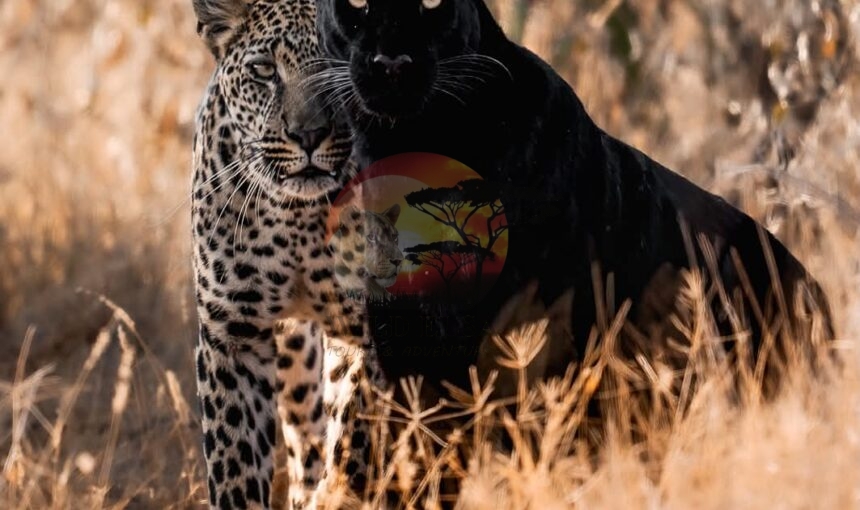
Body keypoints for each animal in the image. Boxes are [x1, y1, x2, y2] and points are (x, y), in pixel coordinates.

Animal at [189, 0, 388, 508]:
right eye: (264, 70)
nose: (308, 135)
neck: (296, 217)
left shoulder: (371, 331)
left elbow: (354, 440)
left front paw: (338, 495)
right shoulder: (231, 335)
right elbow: (235, 463)